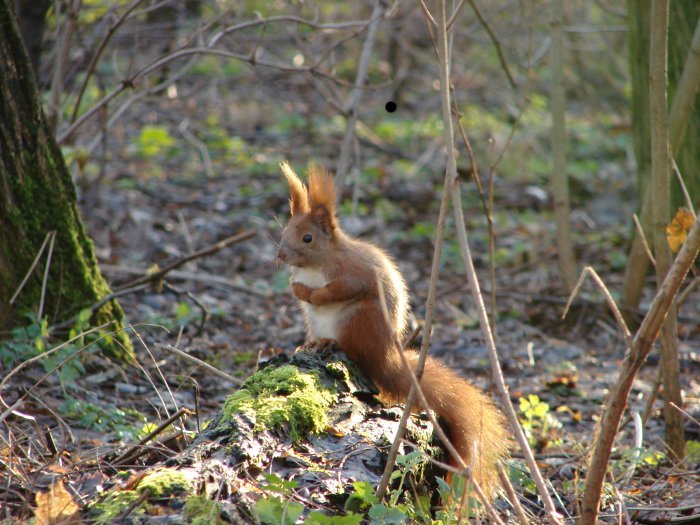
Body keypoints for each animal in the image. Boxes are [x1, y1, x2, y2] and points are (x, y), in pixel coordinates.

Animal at [276, 162, 506, 498]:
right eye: (284, 233)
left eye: (307, 238)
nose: (281, 256)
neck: (317, 265)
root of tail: (385, 356)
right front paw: (296, 289)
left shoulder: (353, 274)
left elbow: (341, 289)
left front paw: (312, 293)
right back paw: (311, 344)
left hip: (360, 318)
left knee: (355, 349)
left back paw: (332, 344)